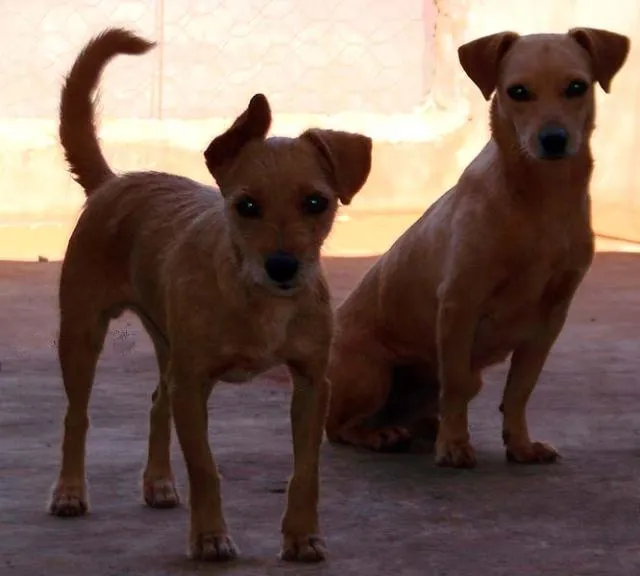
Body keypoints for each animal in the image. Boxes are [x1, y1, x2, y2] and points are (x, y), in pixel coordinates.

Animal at [47, 28, 372, 564]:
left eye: (316, 203)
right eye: (246, 206)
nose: (283, 266)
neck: (259, 302)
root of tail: (113, 183)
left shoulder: (310, 383)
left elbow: (305, 471)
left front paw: (302, 536)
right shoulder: (195, 384)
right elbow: (205, 468)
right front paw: (209, 538)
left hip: (167, 346)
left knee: (157, 400)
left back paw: (158, 483)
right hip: (82, 334)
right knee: (77, 416)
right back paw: (70, 492)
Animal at [324, 25, 632, 468]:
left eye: (577, 87)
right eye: (517, 92)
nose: (553, 140)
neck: (540, 201)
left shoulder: (551, 317)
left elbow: (519, 390)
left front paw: (520, 445)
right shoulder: (459, 302)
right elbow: (455, 384)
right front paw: (454, 446)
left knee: (421, 410)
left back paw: (423, 427)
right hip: (371, 375)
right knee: (340, 427)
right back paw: (382, 434)